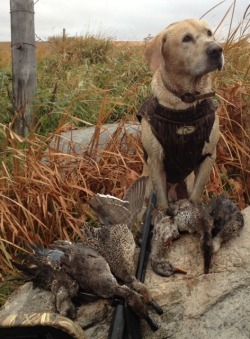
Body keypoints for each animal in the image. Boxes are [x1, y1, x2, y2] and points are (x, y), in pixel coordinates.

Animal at [138, 19, 224, 210]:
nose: (217, 49)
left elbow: (196, 195)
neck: (185, 103)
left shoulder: (208, 157)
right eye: (186, 38)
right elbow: (162, 203)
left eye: (209, 33)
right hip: (147, 188)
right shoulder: (155, 162)